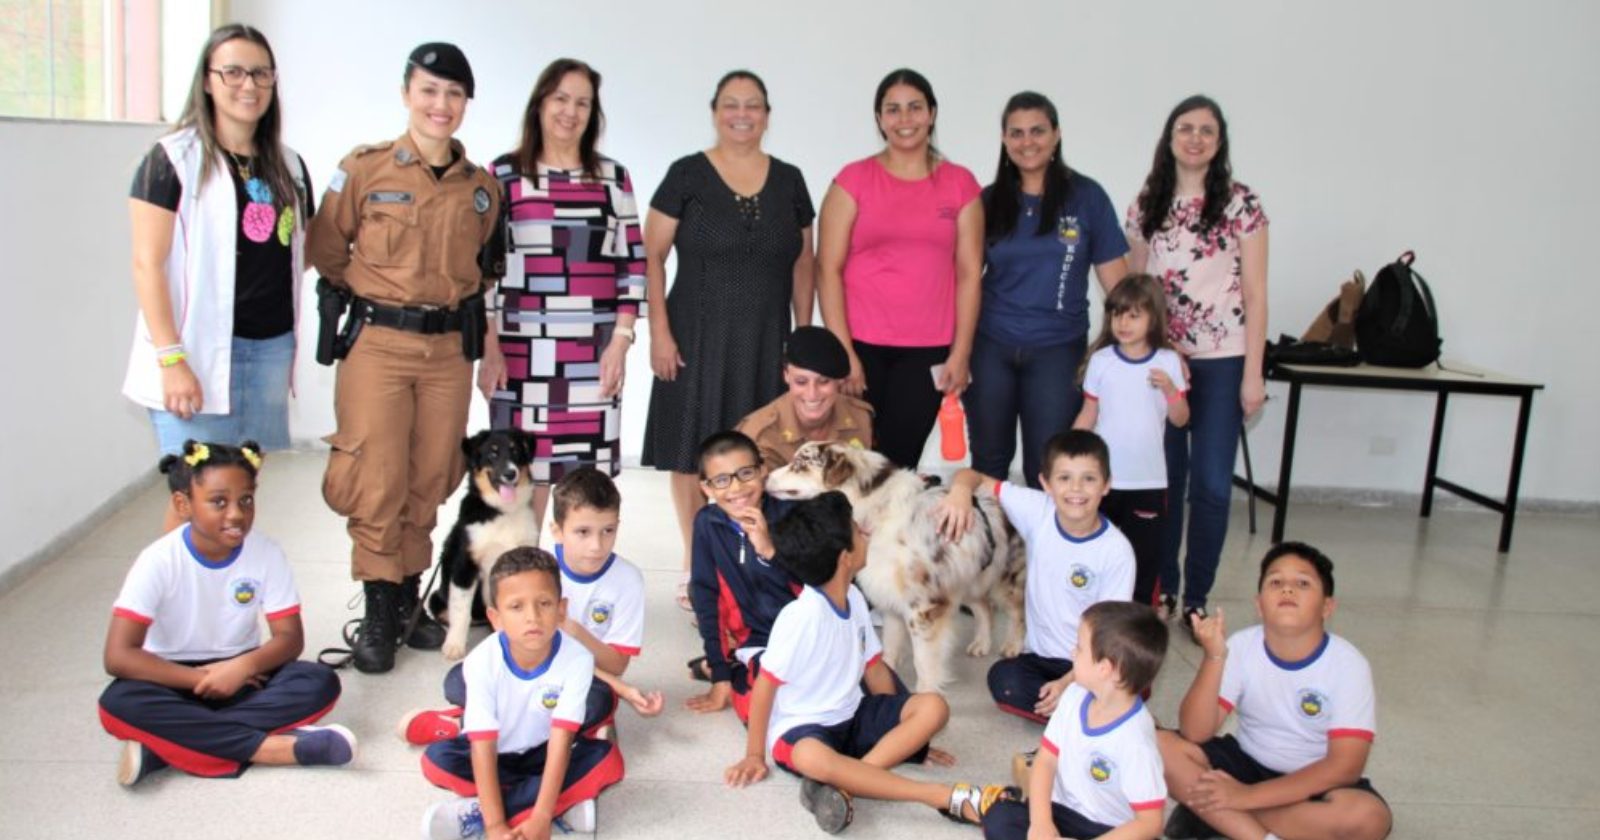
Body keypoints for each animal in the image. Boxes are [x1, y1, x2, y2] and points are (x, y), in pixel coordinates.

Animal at [428, 428, 540, 659]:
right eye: (492, 454)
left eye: (516, 451)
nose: (510, 473)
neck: (502, 511)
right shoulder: (465, 565)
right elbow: (460, 610)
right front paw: (454, 645)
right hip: (436, 597)